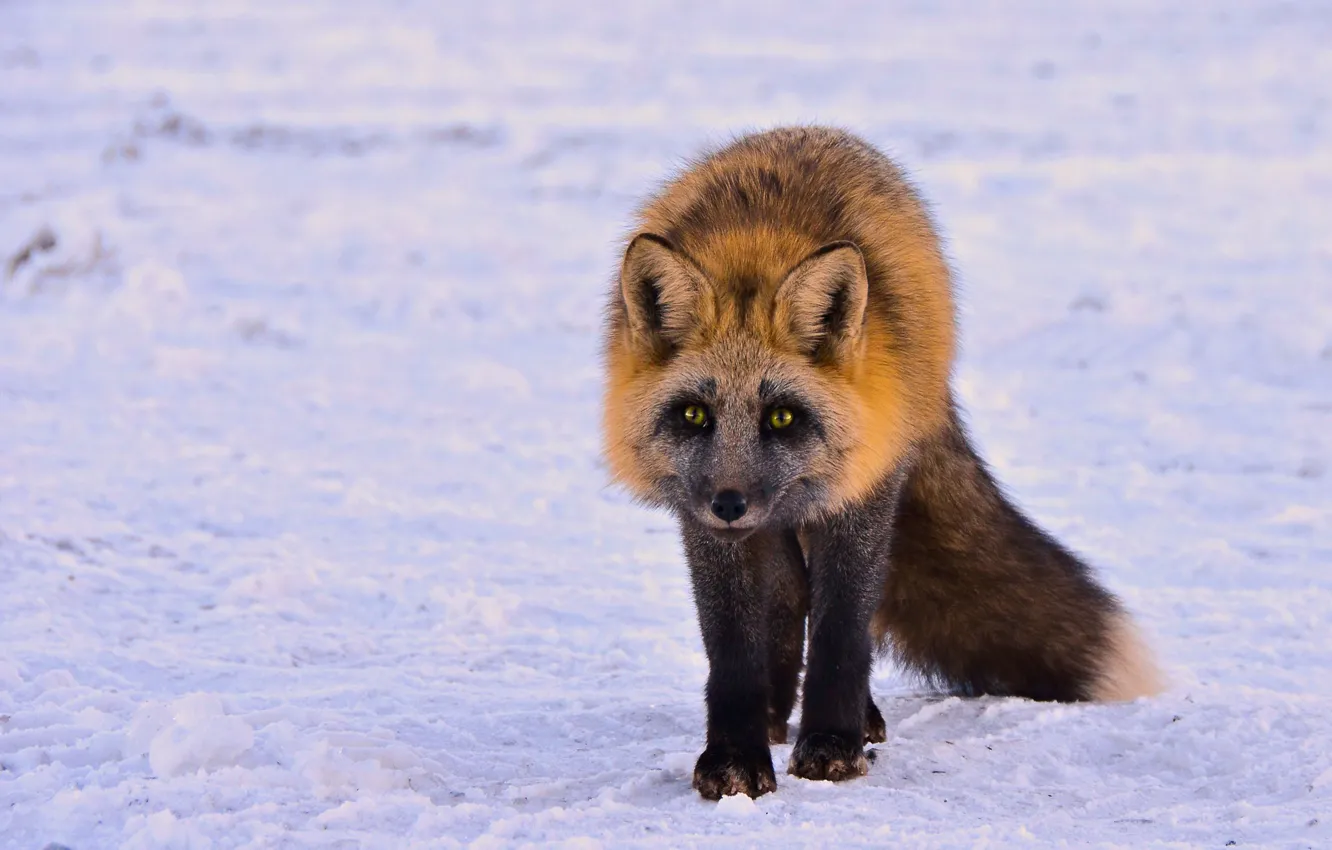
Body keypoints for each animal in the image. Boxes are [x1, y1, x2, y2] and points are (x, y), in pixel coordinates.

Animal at [601, 126, 1161, 800]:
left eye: (781, 418)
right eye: (693, 416)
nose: (730, 504)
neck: (753, 245)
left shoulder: (861, 498)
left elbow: (843, 632)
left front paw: (831, 744)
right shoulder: (705, 529)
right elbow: (734, 650)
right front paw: (736, 755)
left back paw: (853, 720)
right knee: (790, 598)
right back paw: (775, 714)